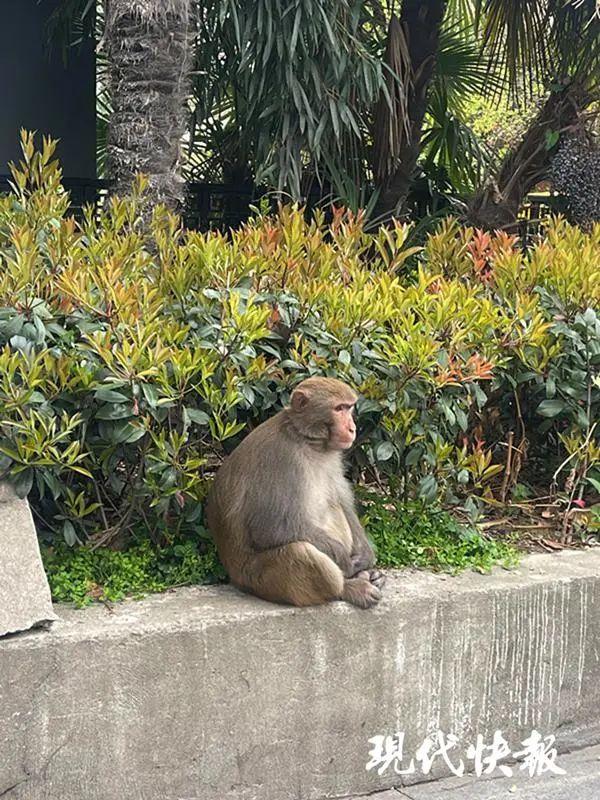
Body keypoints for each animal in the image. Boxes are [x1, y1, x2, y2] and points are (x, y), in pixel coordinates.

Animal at [206, 376, 384, 608]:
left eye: (348, 408)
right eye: (338, 409)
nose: (352, 428)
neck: (305, 439)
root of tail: (235, 577)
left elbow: (341, 498)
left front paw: (365, 556)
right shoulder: (282, 460)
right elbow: (270, 529)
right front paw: (346, 562)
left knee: (333, 505)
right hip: (260, 579)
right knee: (300, 551)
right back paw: (348, 588)